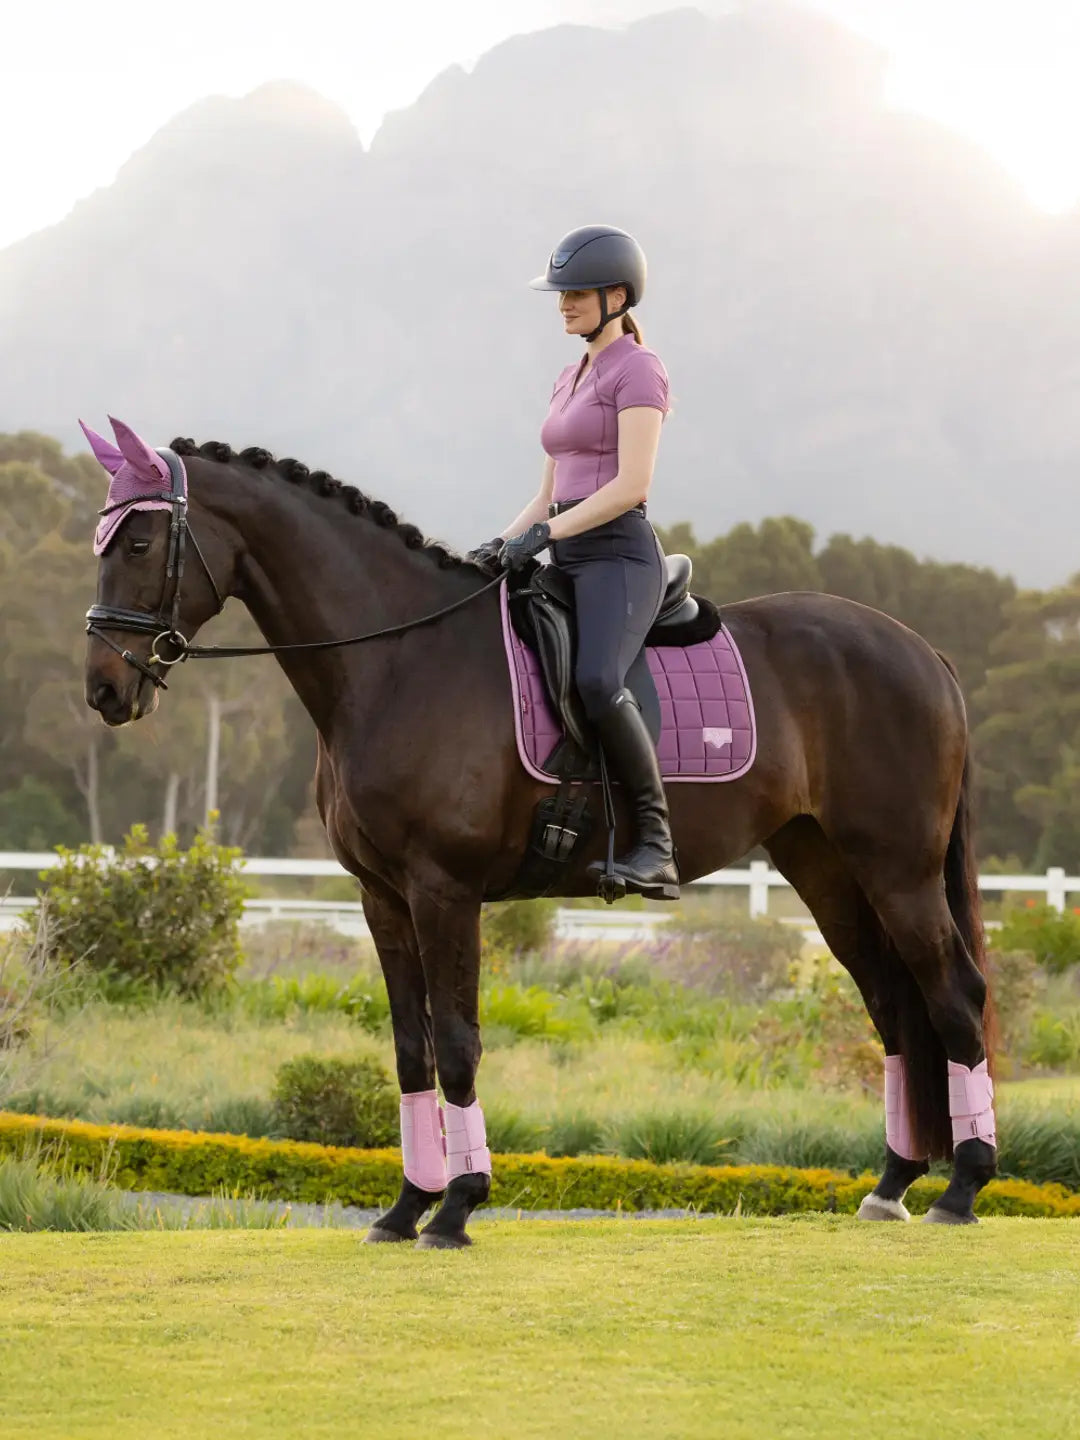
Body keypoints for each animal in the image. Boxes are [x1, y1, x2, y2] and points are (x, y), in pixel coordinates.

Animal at [82, 418, 998, 1247]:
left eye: (138, 542)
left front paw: (456, 1208)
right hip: (825, 867)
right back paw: (892, 1186)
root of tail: (922, 651)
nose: (103, 691)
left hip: (898, 869)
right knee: (895, 1006)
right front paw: (404, 1210)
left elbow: (457, 1044)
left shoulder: (444, 890)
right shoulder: (382, 898)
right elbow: (411, 1050)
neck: (398, 662)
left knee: (954, 996)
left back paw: (962, 1189)